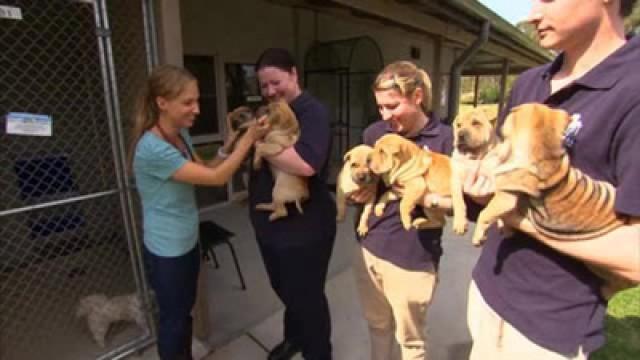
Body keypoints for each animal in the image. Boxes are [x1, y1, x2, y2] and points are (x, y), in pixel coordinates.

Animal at [472, 103, 636, 298]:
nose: (511, 109)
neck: (544, 153)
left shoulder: (507, 194)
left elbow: (486, 212)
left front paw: (479, 236)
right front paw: (504, 227)